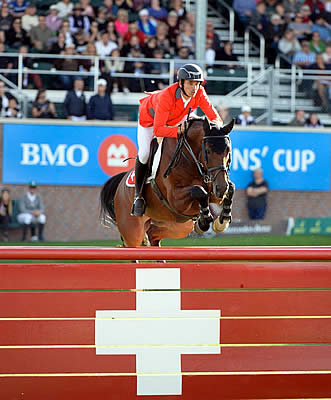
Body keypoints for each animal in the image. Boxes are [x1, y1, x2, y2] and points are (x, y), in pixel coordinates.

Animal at [100, 116, 235, 247]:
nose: (221, 187)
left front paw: (222, 220)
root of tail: (120, 185)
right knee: (131, 243)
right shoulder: (175, 199)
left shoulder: (214, 190)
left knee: (153, 234)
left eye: (228, 150)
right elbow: (199, 191)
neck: (190, 157)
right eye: (208, 151)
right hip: (132, 230)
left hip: (177, 226)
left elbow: (230, 189)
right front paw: (204, 221)